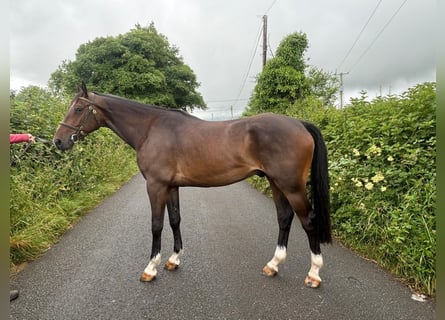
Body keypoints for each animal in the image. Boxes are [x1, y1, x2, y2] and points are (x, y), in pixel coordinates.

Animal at [53, 82, 330, 288]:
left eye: (78, 108)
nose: (58, 141)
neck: (150, 128)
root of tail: (299, 123)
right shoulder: (171, 186)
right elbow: (175, 220)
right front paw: (174, 260)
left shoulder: (155, 186)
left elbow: (156, 225)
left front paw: (150, 268)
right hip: (275, 182)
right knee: (284, 218)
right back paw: (273, 265)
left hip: (291, 186)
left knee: (308, 220)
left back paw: (314, 274)